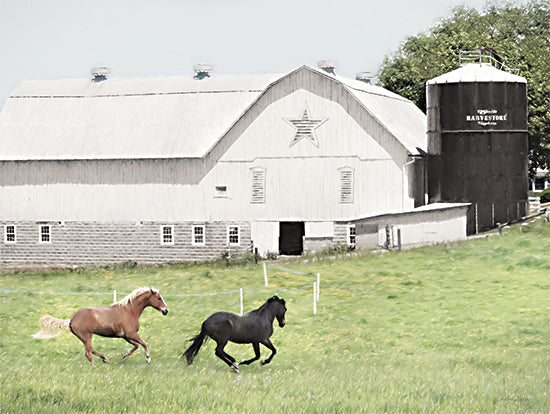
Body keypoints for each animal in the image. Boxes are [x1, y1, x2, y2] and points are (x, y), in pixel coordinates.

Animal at [33, 288, 168, 366]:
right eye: (158, 298)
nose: (166, 310)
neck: (129, 311)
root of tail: (71, 318)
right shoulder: (131, 334)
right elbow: (144, 344)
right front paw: (148, 360)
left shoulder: (125, 336)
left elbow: (136, 346)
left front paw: (124, 355)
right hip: (87, 336)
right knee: (88, 352)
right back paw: (95, 365)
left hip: (84, 337)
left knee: (90, 350)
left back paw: (104, 358)